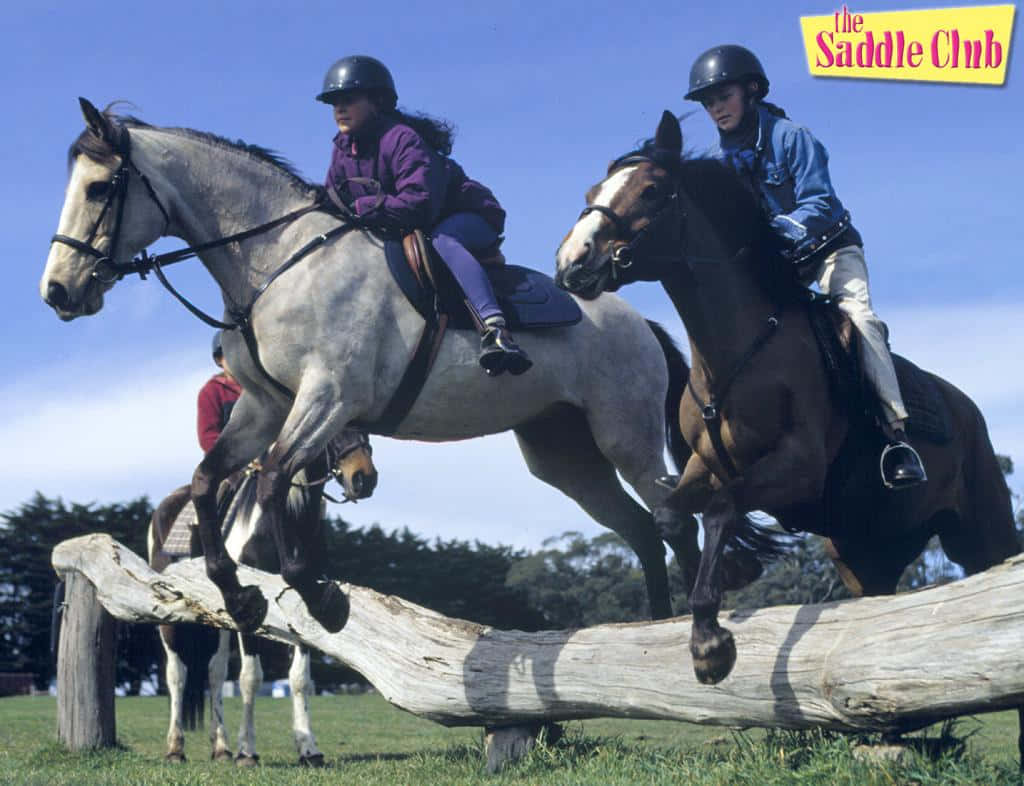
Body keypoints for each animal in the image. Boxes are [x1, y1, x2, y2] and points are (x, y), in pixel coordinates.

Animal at [557, 107, 1019, 704]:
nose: (571, 262)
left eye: (653, 190)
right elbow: (669, 514)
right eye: (593, 192)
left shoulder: (798, 467)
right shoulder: (704, 465)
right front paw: (726, 589)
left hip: (983, 532)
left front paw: (711, 646)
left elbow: (722, 509)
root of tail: (968, 411)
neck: (738, 353)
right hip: (863, 553)